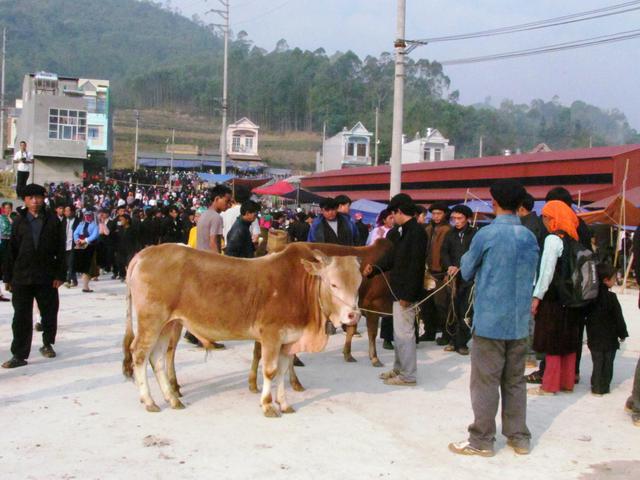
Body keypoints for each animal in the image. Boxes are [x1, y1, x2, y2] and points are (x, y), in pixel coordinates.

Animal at [122, 244, 362, 416]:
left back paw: (172, 398)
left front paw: (284, 404)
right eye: (333, 284)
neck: (300, 287)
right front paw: (268, 405)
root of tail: (144, 253)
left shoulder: (288, 341)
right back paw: (149, 401)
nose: (354, 315)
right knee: (140, 354)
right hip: (151, 322)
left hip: (168, 324)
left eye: (358, 284)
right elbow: (270, 371)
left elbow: (283, 371)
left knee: (158, 358)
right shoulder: (271, 336)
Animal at [249, 240, 396, 394]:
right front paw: (375, 358)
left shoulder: (355, 310)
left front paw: (348, 354)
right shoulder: (373, 307)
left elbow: (351, 330)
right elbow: (372, 334)